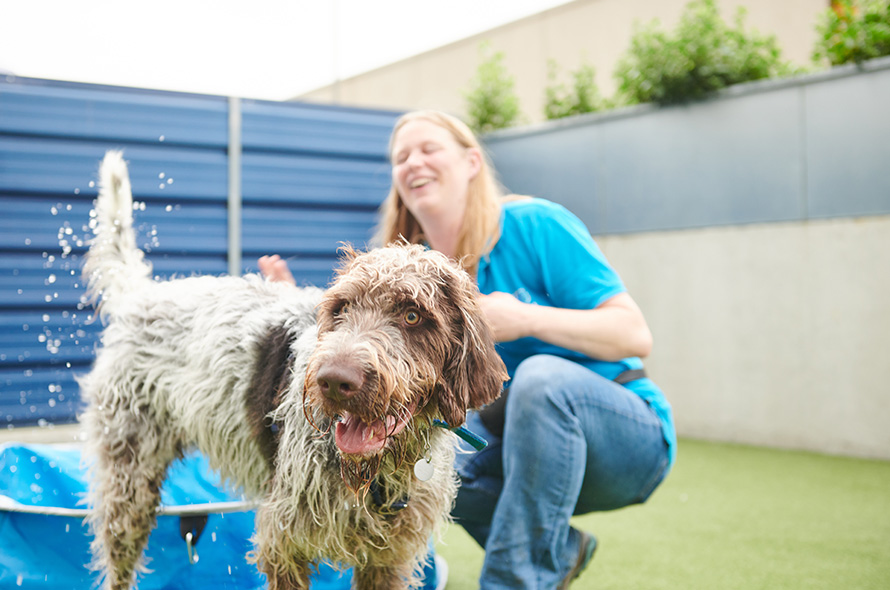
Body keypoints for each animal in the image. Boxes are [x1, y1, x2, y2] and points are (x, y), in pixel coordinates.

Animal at [80, 153, 506, 590]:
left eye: (413, 315)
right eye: (341, 308)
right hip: (128, 487)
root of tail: (140, 296)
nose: (334, 381)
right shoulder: (284, 544)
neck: (381, 469)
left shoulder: (388, 559)